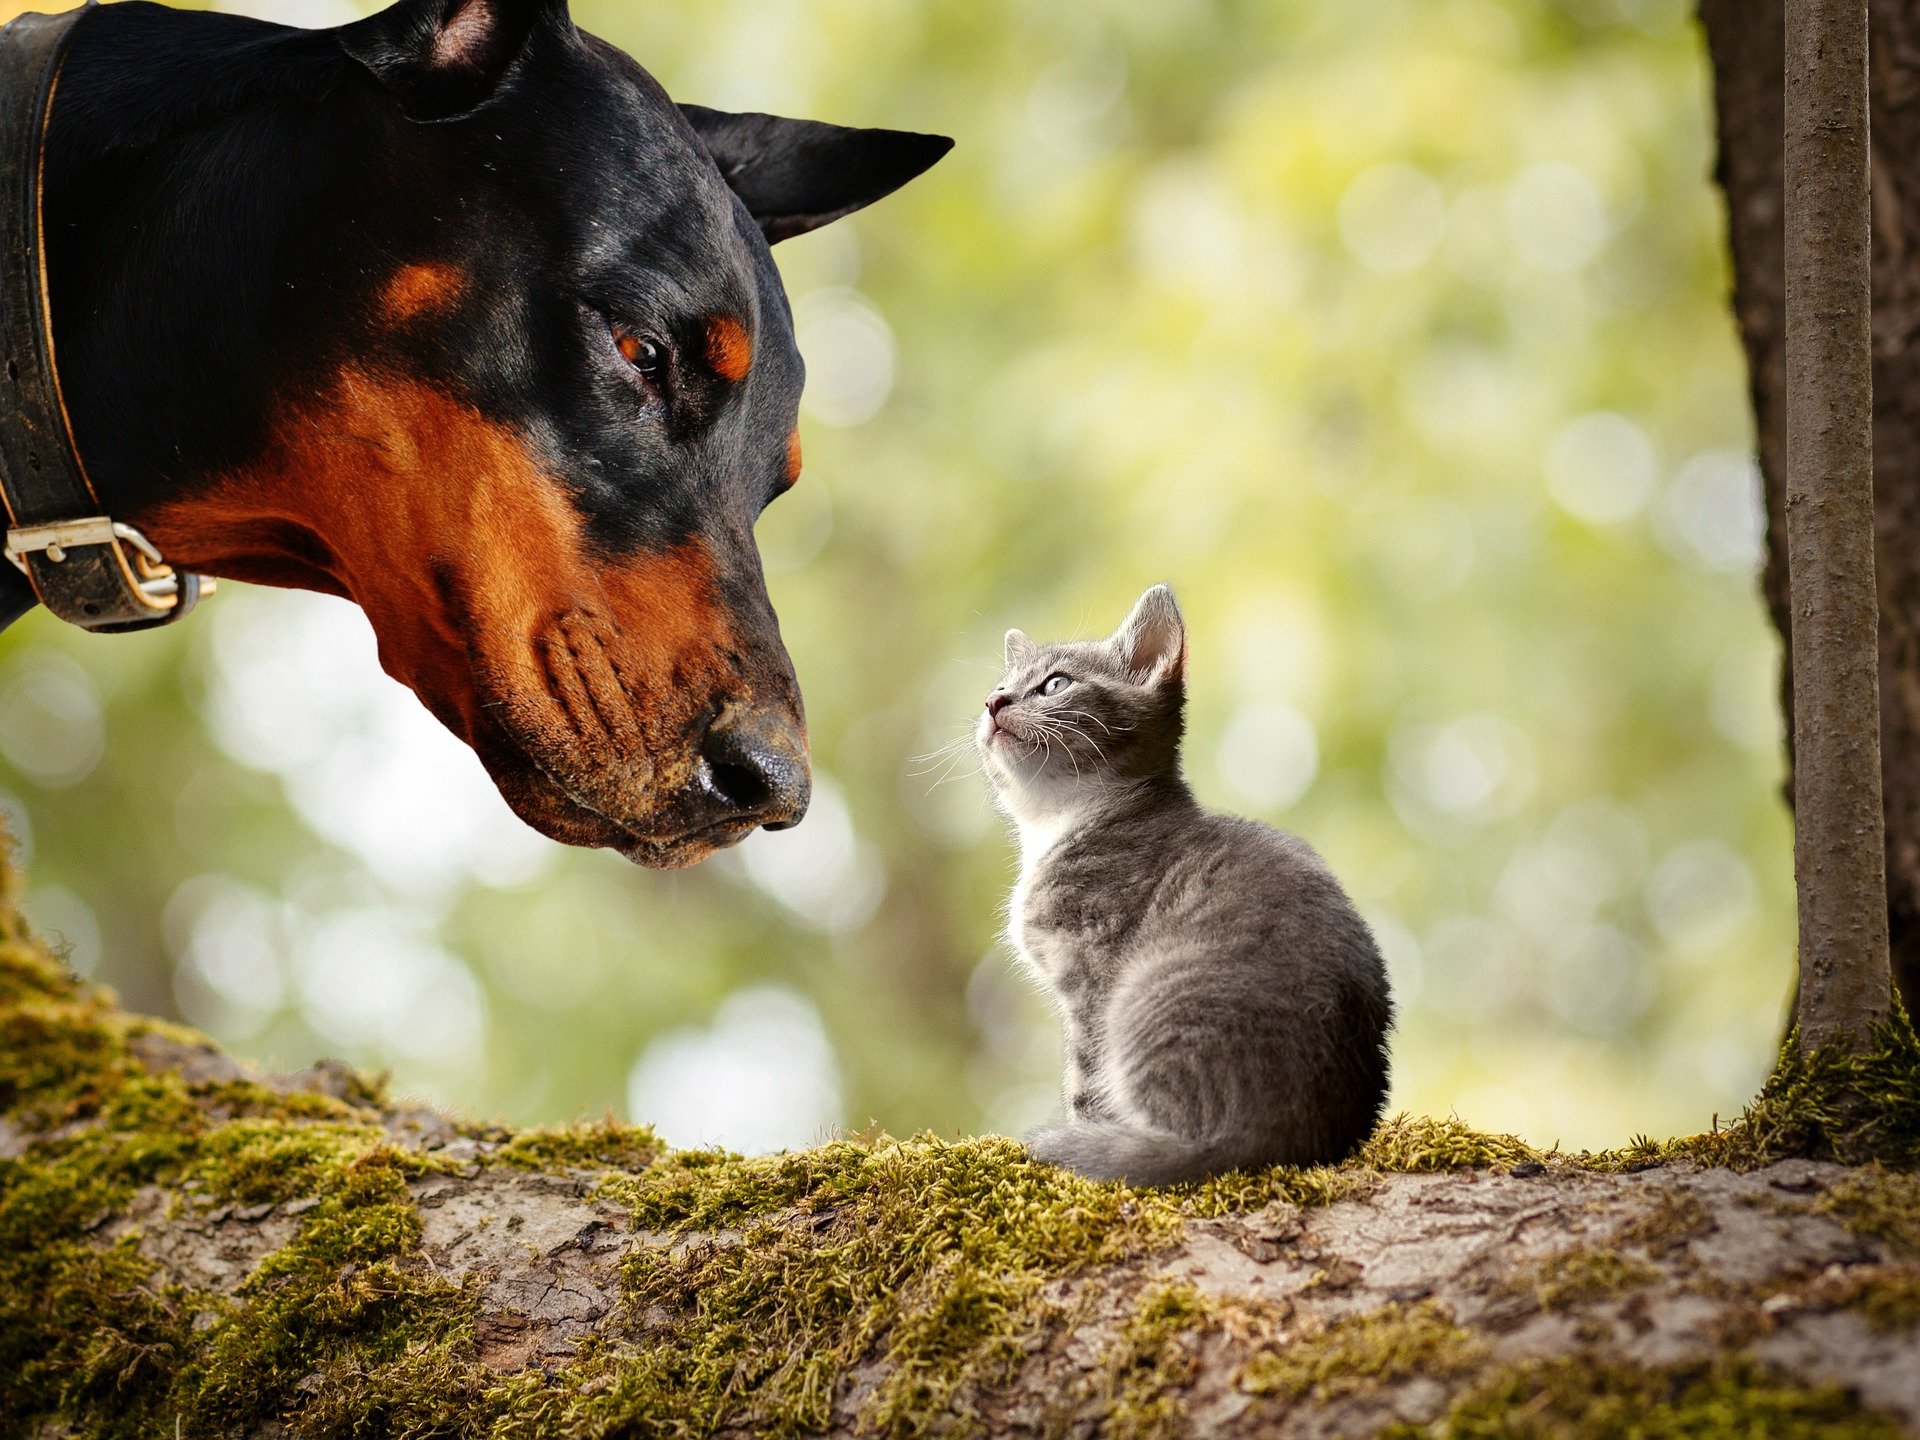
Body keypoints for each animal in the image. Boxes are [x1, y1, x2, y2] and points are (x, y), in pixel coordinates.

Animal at [983, 587, 1390, 1182]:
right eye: (997, 686)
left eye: (1056, 683)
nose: (994, 703)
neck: (1059, 822)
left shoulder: (1091, 974)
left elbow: (1084, 1080)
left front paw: (1083, 1132)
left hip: (1146, 995)